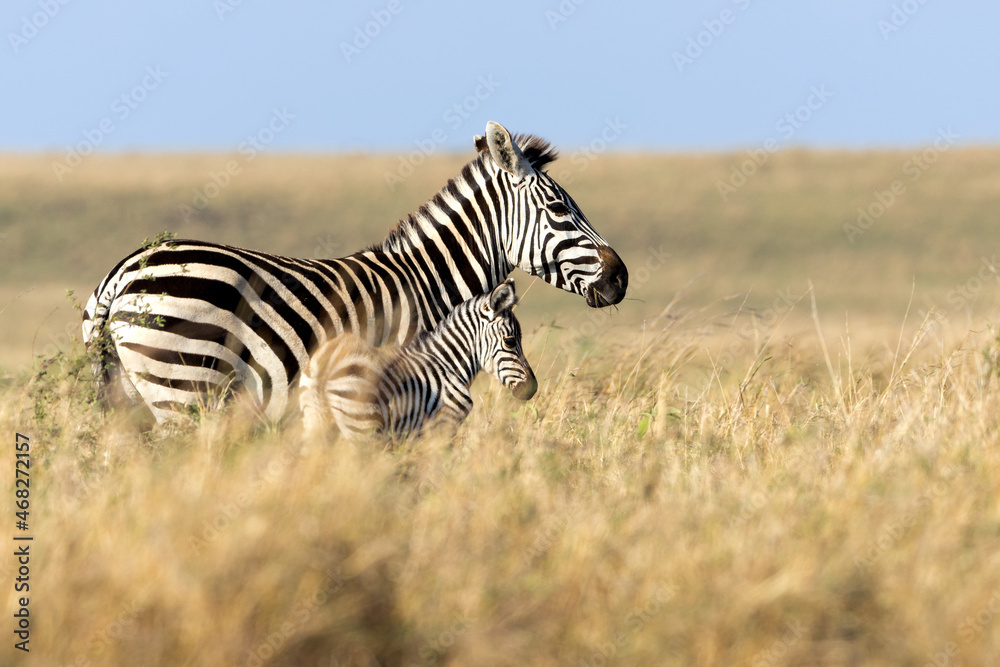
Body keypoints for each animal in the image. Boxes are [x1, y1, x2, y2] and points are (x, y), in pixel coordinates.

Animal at [82, 121, 628, 423]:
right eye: (559, 208)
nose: (620, 277)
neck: (429, 283)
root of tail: (121, 274)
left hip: (131, 397)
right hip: (184, 387)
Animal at [299, 278, 535, 440]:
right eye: (510, 341)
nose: (532, 389)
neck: (448, 363)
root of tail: (327, 359)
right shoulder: (443, 425)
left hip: (316, 423)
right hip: (362, 426)